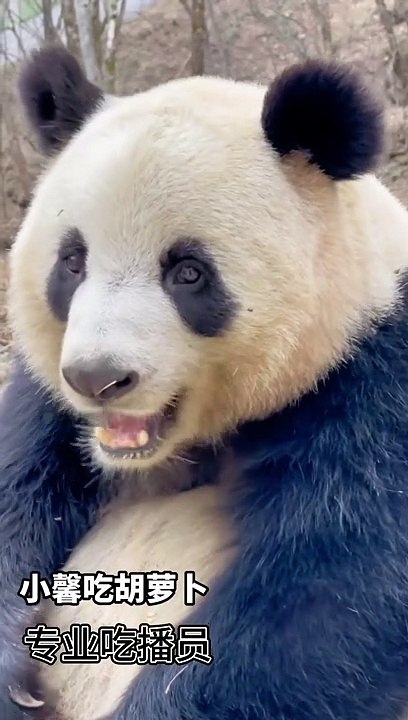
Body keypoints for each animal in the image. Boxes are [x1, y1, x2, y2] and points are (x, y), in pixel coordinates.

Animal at [1, 42, 408, 720]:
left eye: (188, 272)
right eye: (72, 262)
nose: (97, 379)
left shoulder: (375, 379)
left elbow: (330, 599)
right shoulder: (44, 405)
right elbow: (16, 494)